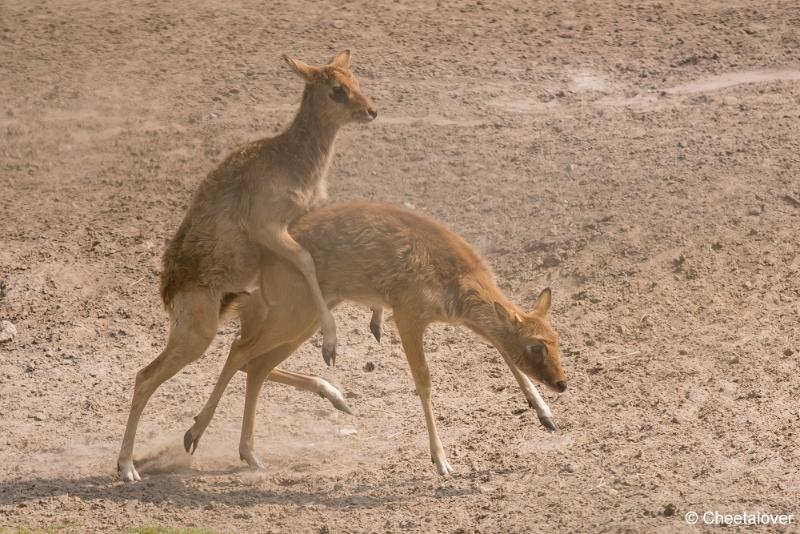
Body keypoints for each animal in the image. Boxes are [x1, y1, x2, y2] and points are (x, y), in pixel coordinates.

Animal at [117, 51, 376, 486]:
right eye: (336, 89)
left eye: (356, 78)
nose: (371, 110)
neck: (289, 160)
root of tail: (169, 291)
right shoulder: (271, 229)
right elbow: (307, 261)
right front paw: (331, 344)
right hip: (197, 335)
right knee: (148, 376)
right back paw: (131, 466)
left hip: (240, 317)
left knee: (247, 360)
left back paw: (328, 402)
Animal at [184, 202, 564, 478]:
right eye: (535, 346)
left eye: (557, 340)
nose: (561, 383)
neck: (459, 276)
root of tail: (264, 263)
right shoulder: (409, 315)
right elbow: (424, 381)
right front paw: (442, 462)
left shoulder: (466, 321)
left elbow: (503, 349)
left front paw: (546, 416)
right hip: (293, 313)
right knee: (239, 351)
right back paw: (195, 435)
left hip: (305, 319)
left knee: (257, 364)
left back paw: (254, 451)